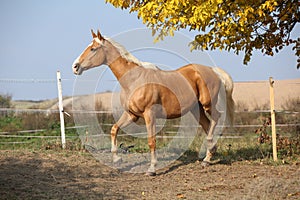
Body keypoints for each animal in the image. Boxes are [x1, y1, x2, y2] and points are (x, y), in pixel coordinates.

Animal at [72, 29, 234, 175]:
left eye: (93, 49)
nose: (75, 66)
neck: (134, 80)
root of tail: (214, 70)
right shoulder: (132, 115)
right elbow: (114, 129)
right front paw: (117, 159)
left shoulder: (149, 115)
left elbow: (151, 141)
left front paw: (152, 169)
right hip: (196, 109)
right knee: (207, 124)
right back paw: (207, 158)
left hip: (207, 103)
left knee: (216, 118)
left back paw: (209, 150)